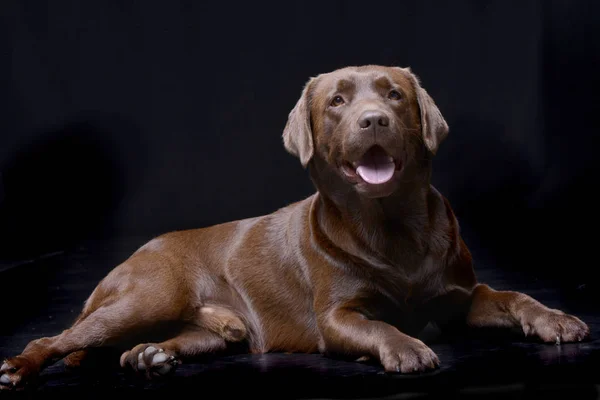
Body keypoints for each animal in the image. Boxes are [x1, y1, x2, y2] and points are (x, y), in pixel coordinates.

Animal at [1, 65, 592, 388]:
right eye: (337, 101)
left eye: (394, 95)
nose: (373, 120)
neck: (391, 228)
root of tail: (132, 256)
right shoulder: (337, 317)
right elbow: (379, 327)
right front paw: (405, 347)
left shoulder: (461, 296)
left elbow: (513, 295)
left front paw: (555, 319)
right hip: (146, 296)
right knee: (56, 337)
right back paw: (19, 367)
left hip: (201, 330)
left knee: (144, 346)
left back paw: (149, 355)